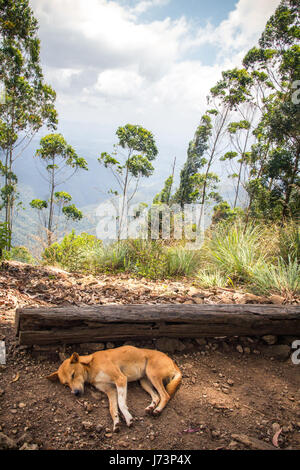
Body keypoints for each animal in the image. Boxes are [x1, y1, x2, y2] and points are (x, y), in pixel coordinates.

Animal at [46, 344, 182, 432]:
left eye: (73, 375)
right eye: (66, 384)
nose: (76, 393)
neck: (91, 367)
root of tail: (172, 361)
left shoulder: (120, 379)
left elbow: (121, 403)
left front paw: (128, 418)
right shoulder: (110, 390)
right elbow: (112, 408)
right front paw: (116, 422)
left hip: (152, 374)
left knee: (165, 395)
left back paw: (157, 410)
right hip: (144, 382)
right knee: (157, 396)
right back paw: (151, 407)